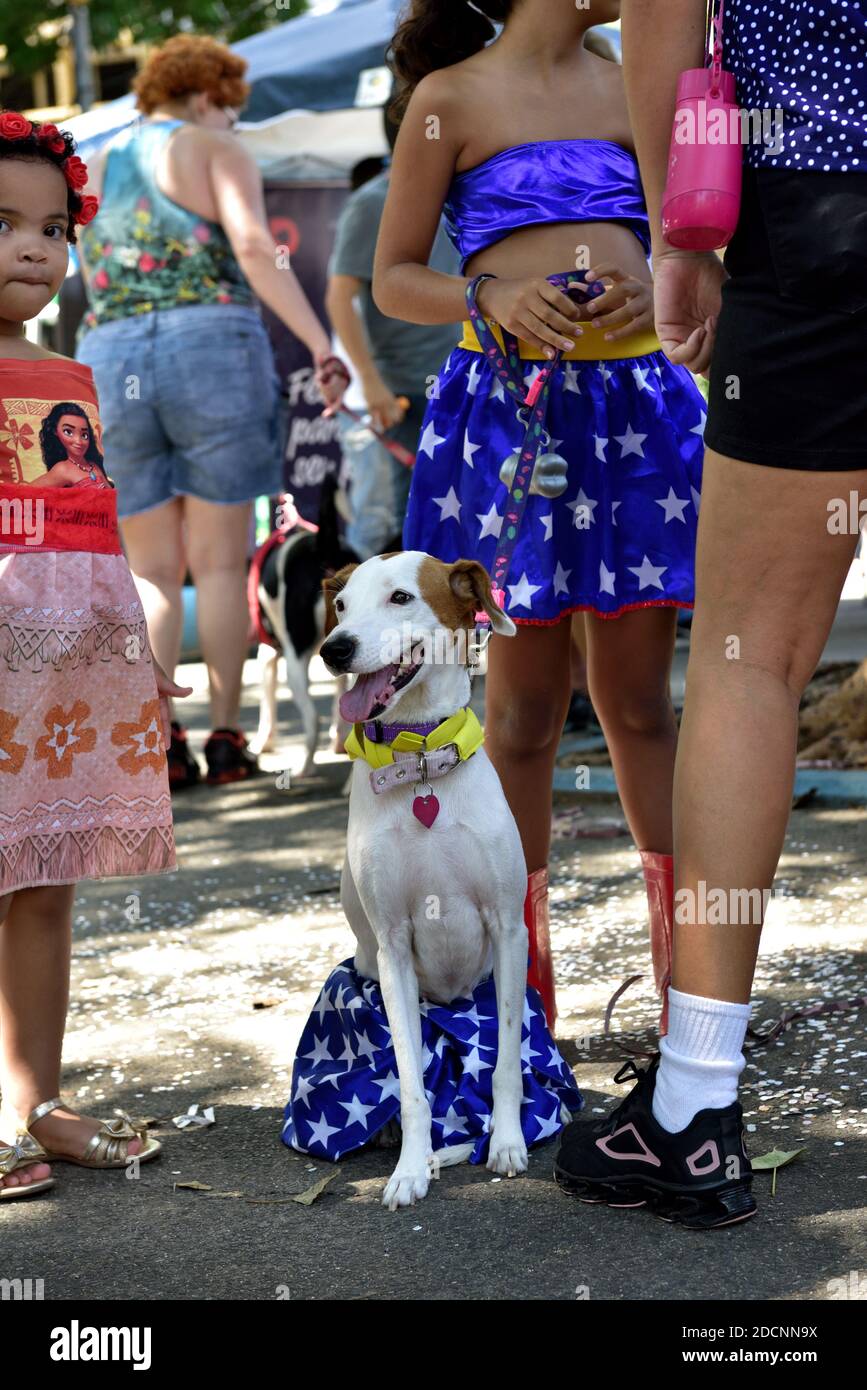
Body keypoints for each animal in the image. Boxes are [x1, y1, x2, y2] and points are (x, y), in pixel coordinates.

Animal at [319, 550, 527, 1206]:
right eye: (340, 605)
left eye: (401, 597)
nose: (334, 648)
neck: (418, 762)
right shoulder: (393, 952)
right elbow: (412, 1081)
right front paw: (411, 1168)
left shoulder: (508, 930)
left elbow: (506, 1061)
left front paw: (507, 1142)